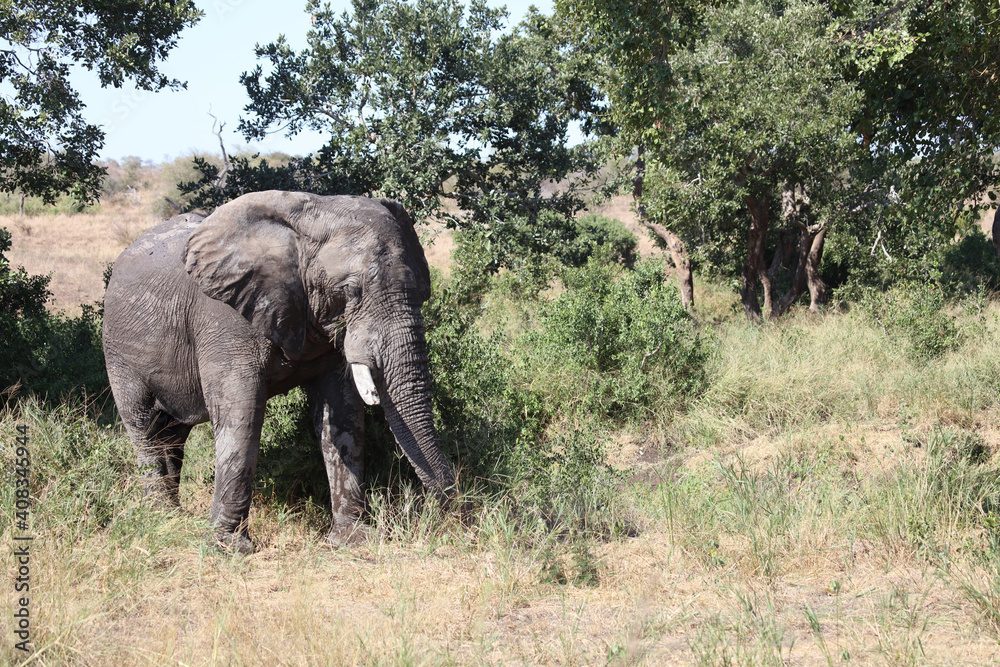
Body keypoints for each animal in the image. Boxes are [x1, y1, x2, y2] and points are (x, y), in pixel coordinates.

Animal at [102, 191, 455, 553]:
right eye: (350, 292)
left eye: (421, 290)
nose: (453, 518)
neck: (314, 215)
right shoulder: (224, 318)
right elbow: (241, 414)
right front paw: (229, 548)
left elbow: (342, 415)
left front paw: (352, 540)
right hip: (118, 349)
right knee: (145, 428)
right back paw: (161, 518)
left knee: (171, 435)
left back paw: (174, 516)